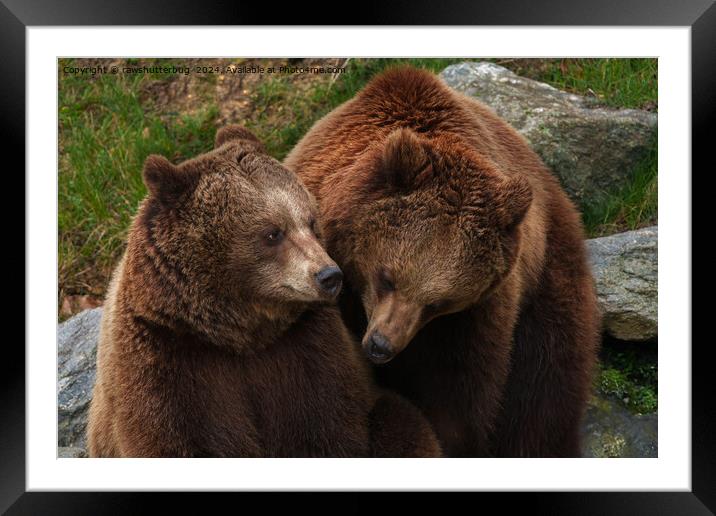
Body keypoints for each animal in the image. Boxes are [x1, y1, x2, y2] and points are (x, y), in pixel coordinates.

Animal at [86, 127, 440, 458]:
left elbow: (328, 425)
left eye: (310, 221)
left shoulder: (307, 348)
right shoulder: (165, 361)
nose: (329, 276)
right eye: (272, 233)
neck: (241, 333)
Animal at [282, 66, 600, 458]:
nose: (381, 346)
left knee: (546, 386)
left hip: (548, 281)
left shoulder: (472, 319)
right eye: (387, 277)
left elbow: (459, 396)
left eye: (438, 303)